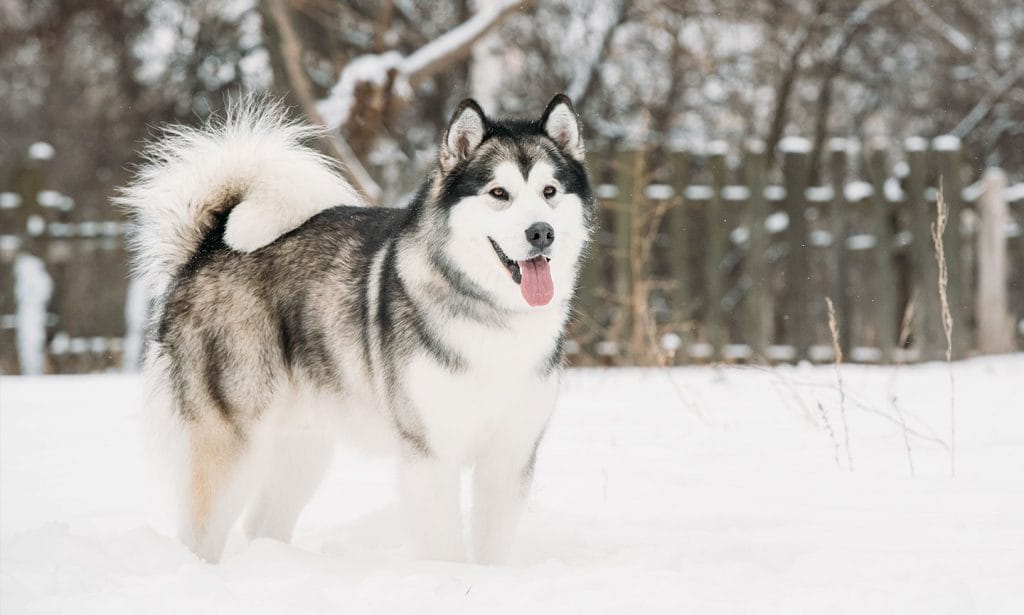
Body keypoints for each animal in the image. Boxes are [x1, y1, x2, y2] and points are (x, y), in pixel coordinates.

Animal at [120, 93, 598, 564]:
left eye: (550, 191)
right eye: (500, 193)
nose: (541, 232)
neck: (493, 315)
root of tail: (208, 249)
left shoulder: (510, 457)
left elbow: (490, 550)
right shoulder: (430, 455)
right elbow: (446, 550)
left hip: (305, 444)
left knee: (261, 524)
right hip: (232, 441)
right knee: (200, 536)